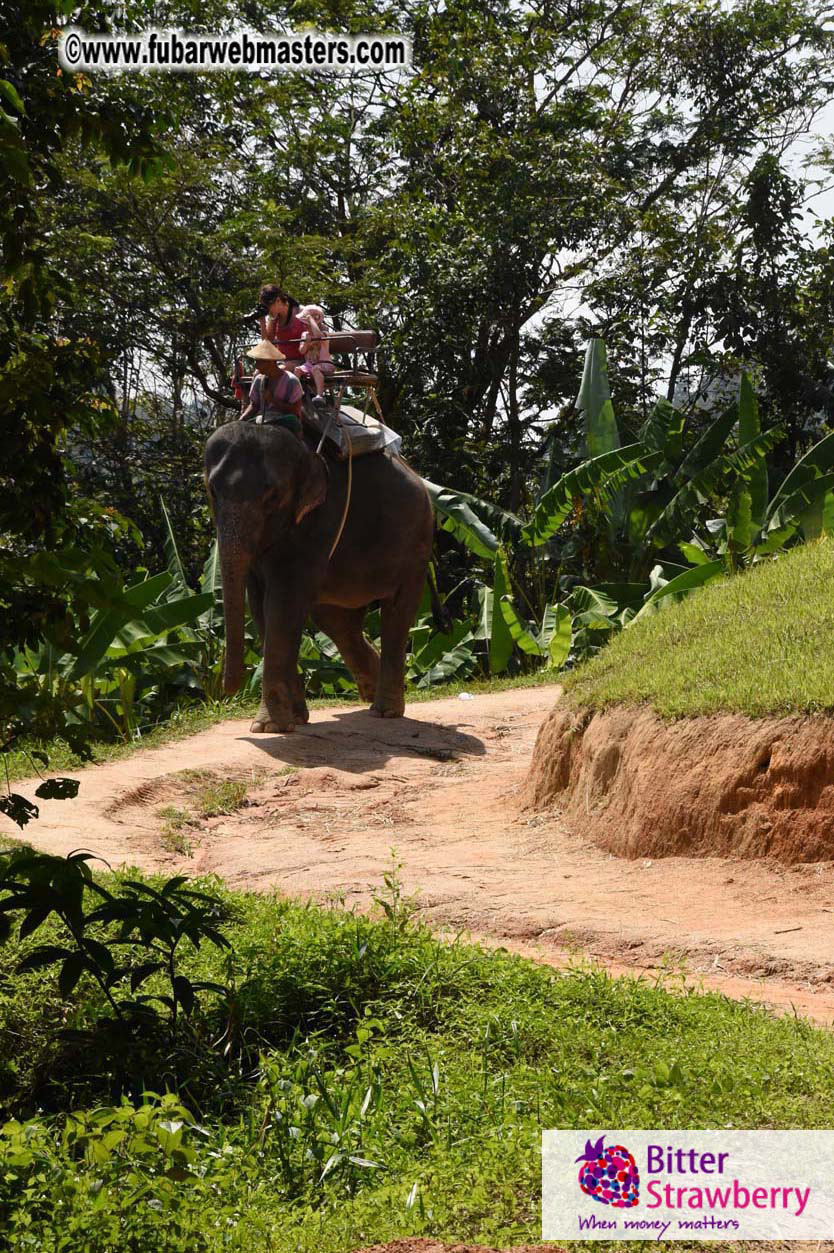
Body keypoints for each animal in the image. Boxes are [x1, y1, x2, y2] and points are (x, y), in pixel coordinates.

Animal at [204, 420, 435, 733]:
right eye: (213, 491)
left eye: (272, 497)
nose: (227, 692)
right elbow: (260, 608)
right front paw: (295, 719)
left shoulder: (320, 524)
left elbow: (283, 607)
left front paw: (269, 727)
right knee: (338, 622)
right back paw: (370, 691)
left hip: (416, 547)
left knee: (396, 615)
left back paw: (384, 710)